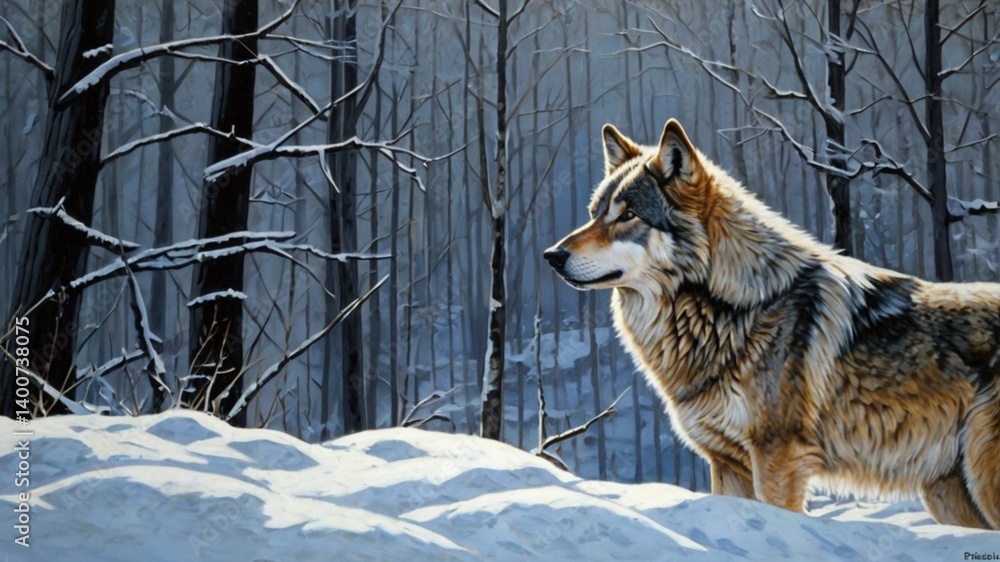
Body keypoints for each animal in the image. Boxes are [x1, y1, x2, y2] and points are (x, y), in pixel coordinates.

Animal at [544, 118, 1000, 529]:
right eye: (594, 214)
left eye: (628, 215)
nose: (551, 255)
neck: (733, 310)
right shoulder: (727, 464)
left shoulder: (779, 457)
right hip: (949, 493)